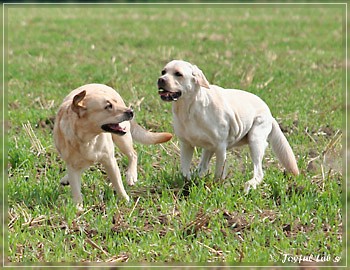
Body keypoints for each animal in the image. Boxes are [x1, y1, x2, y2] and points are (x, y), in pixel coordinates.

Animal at [158, 60, 298, 193]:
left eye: (178, 74)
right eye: (163, 71)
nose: (160, 79)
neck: (189, 108)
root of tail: (270, 113)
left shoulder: (221, 147)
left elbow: (218, 174)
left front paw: (214, 188)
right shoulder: (186, 145)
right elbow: (185, 172)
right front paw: (185, 186)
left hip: (255, 140)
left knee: (259, 172)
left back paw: (249, 185)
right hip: (209, 148)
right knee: (203, 166)